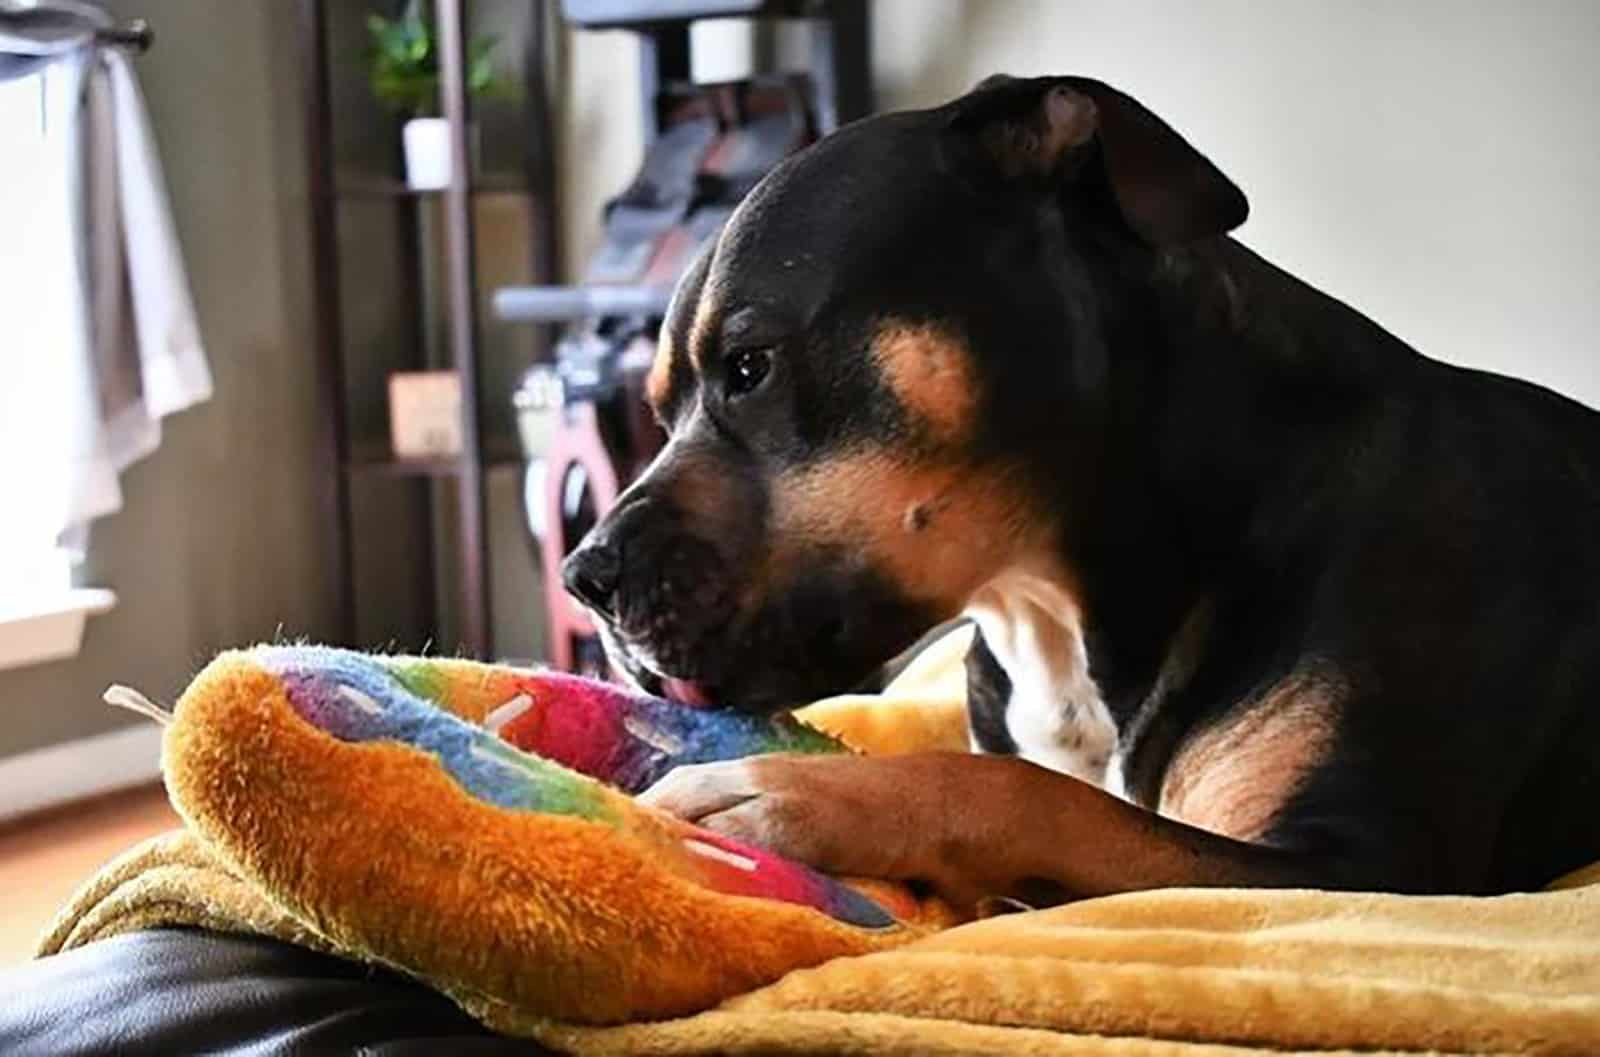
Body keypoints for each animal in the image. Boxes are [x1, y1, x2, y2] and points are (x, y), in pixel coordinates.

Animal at [563, 74, 1600, 908]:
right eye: (658, 409)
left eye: (749, 366)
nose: (585, 578)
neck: (1051, 609)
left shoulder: (1361, 864)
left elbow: (1045, 797)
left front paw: (791, 788)